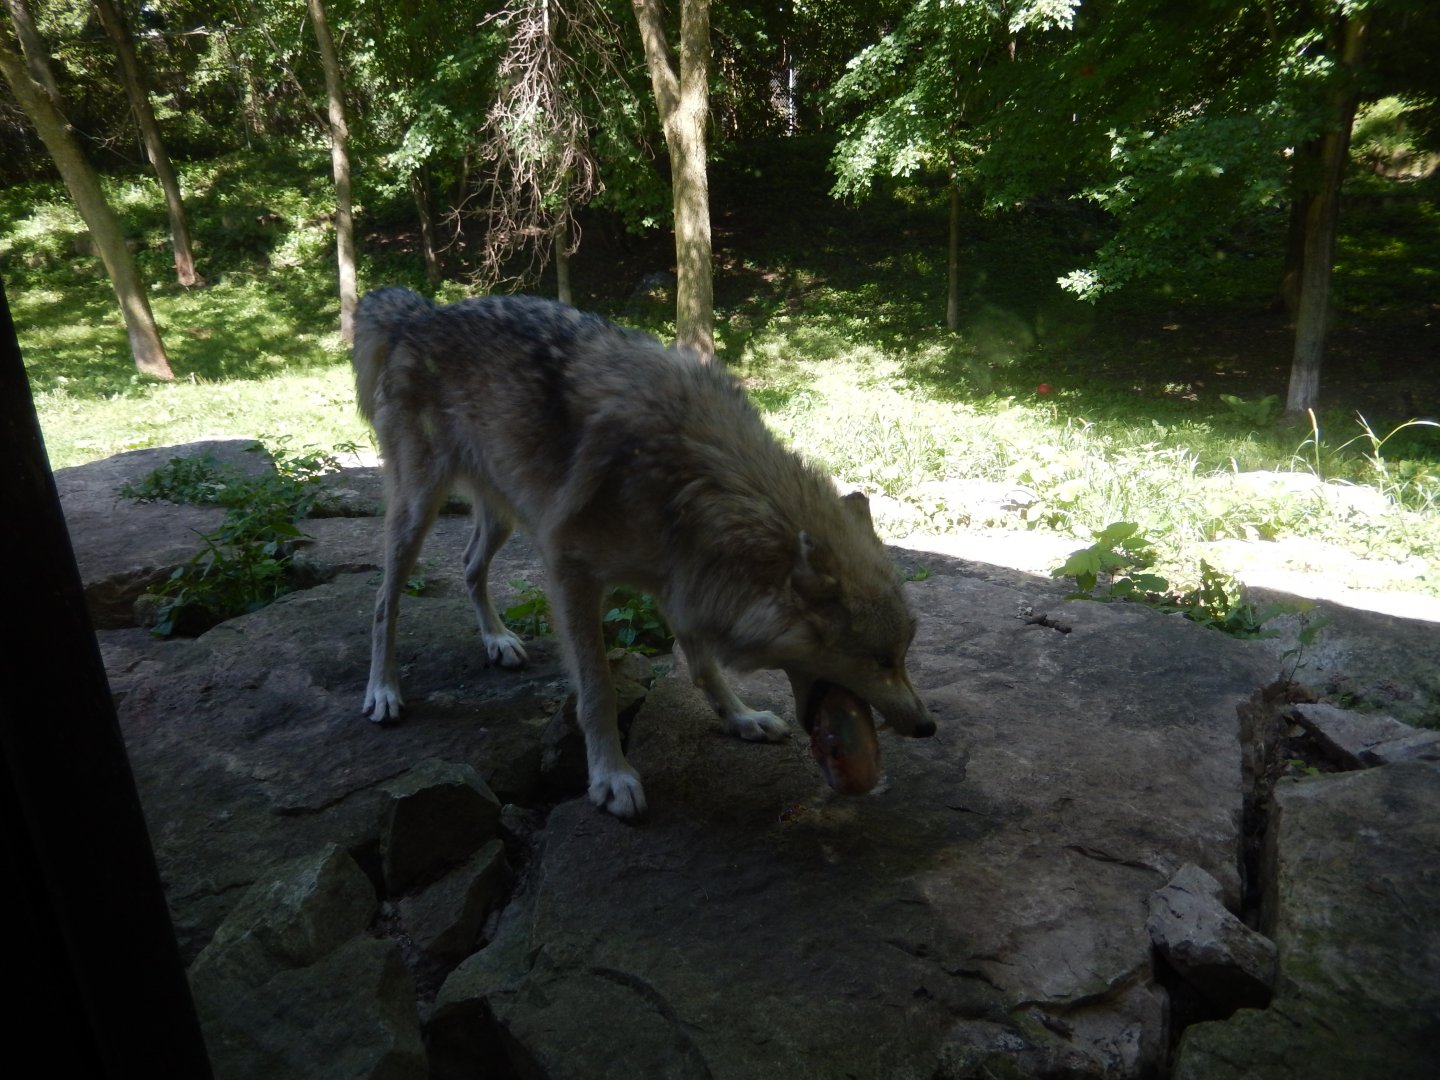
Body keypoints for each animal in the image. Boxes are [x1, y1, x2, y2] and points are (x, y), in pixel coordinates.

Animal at [352, 287, 934, 818]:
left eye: (904, 656)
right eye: (881, 661)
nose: (928, 726)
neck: (701, 482)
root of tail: (418, 313)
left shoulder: (682, 579)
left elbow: (704, 666)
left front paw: (740, 718)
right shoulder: (572, 573)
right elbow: (598, 691)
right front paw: (611, 777)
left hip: (505, 511)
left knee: (469, 565)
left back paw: (498, 641)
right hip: (418, 510)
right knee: (383, 601)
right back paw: (383, 691)